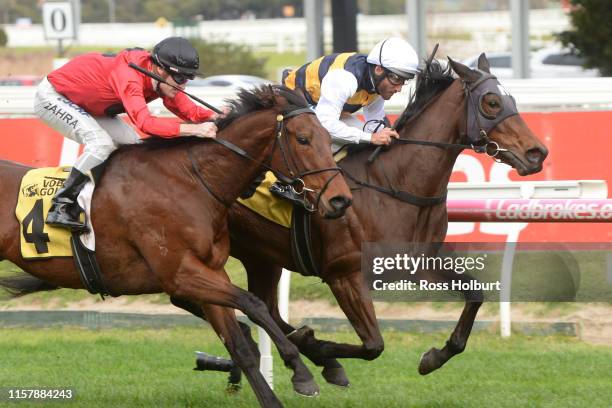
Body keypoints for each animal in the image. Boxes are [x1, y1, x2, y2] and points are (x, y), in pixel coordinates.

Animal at [0, 84, 352, 406]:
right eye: (303, 139)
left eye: (327, 137)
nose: (340, 200)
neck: (191, 181)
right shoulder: (180, 274)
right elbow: (255, 304)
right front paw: (301, 372)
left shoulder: (210, 273)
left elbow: (240, 345)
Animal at [183, 55, 548, 388]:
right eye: (492, 102)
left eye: (512, 99)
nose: (537, 153)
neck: (394, 183)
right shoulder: (344, 275)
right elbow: (373, 344)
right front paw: (319, 349)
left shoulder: (417, 262)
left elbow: (475, 294)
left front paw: (433, 357)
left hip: (260, 256)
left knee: (261, 307)